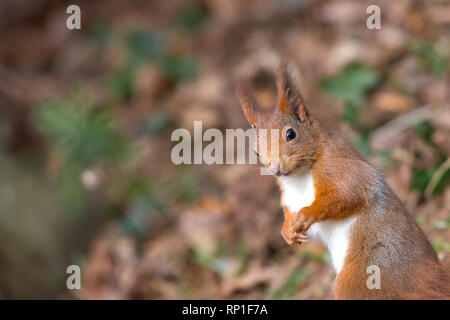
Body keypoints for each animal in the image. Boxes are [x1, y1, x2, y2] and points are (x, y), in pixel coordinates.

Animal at [237, 60, 448, 300]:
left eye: (291, 134)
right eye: (255, 151)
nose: (276, 169)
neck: (299, 179)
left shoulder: (341, 169)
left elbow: (345, 196)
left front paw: (304, 215)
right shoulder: (290, 198)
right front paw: (287, 231)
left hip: (367, 275)